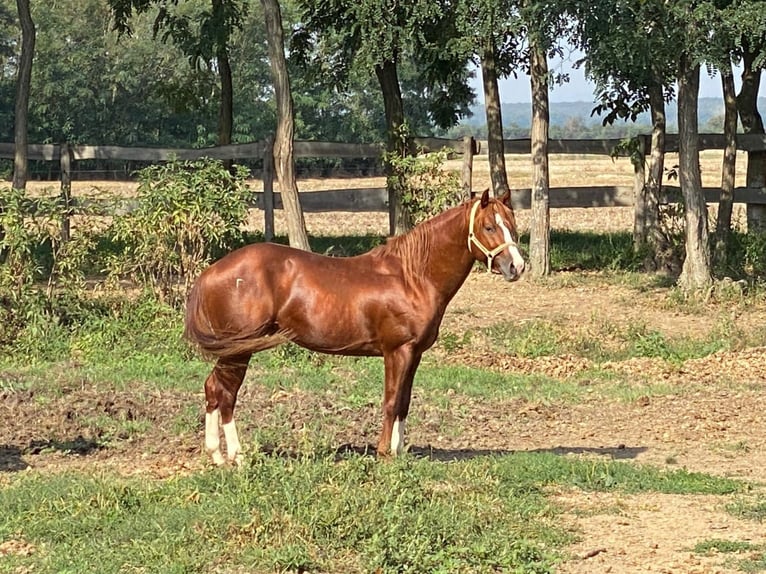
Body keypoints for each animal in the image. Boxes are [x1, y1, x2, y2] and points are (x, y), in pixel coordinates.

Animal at [183, 191, 524, 466]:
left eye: (512, 224)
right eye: (489, 226)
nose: (516, 267)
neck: (411, 277)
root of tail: (211, 271)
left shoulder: (414, 354)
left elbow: (404, 402)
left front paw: (398, 452)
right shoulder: (396, 352)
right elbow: (390, 402)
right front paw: (384, 454)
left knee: (213, 389)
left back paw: (217, 456)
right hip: (237, 351)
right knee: (225, 393)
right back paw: (236, 458)